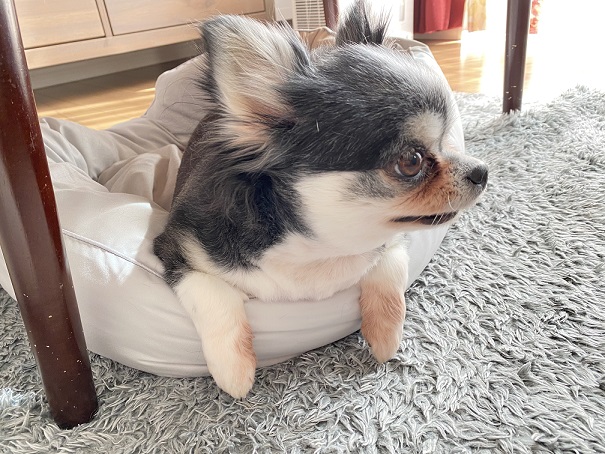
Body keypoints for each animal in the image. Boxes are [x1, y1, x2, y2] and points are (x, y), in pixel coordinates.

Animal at [153, 0, 488, 398]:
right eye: (411, 161)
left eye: (447, 141)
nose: (482, 171)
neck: (320, 250)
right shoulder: (174, 248)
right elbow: (213, 293)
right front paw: (233, 369)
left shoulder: (392, 243)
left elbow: (390, 277)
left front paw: (385, 338)